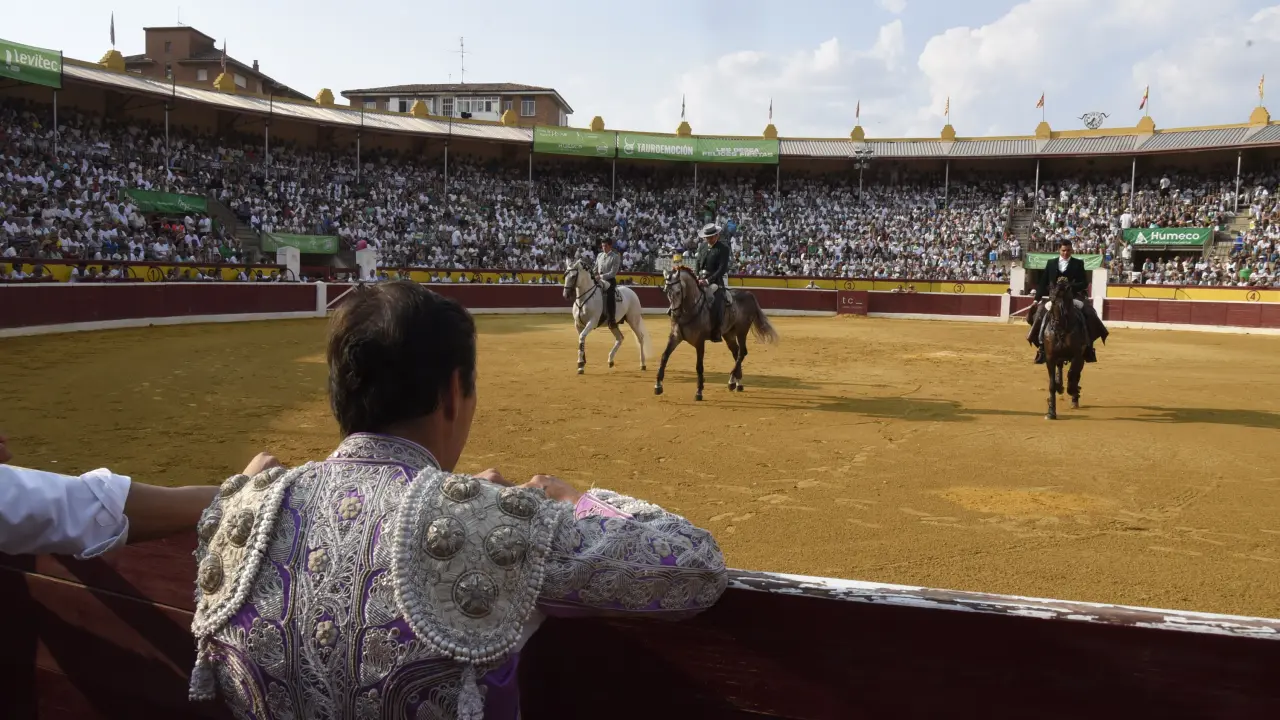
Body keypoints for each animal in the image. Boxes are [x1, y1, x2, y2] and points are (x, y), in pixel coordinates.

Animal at [654, 266, 778, 401]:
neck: (690, 308)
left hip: (742, 331)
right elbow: (664, 356)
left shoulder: (699, 341)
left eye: (678, 292)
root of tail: (748, 294)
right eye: (666, 291)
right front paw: (658, 385)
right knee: (736, 353)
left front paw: (699, 391)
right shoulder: (675, 337)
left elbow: (699, 366)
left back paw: (732, 381)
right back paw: (737, 383)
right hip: (729, 334)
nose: (673, 314)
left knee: (742, 352)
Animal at [1041, 276, 1088, 420]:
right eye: (1051, 300)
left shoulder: (1077, 356)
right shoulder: (1050, 357)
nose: (1056, 325)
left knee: (1076, 374)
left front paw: (1072, 390)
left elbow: (1072, 373)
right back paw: (1060, 385)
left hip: (1081, 358)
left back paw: (1074, 398)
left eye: (1066, 301)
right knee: (1061, 368)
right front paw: (1051, 412)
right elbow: (1051, 385)